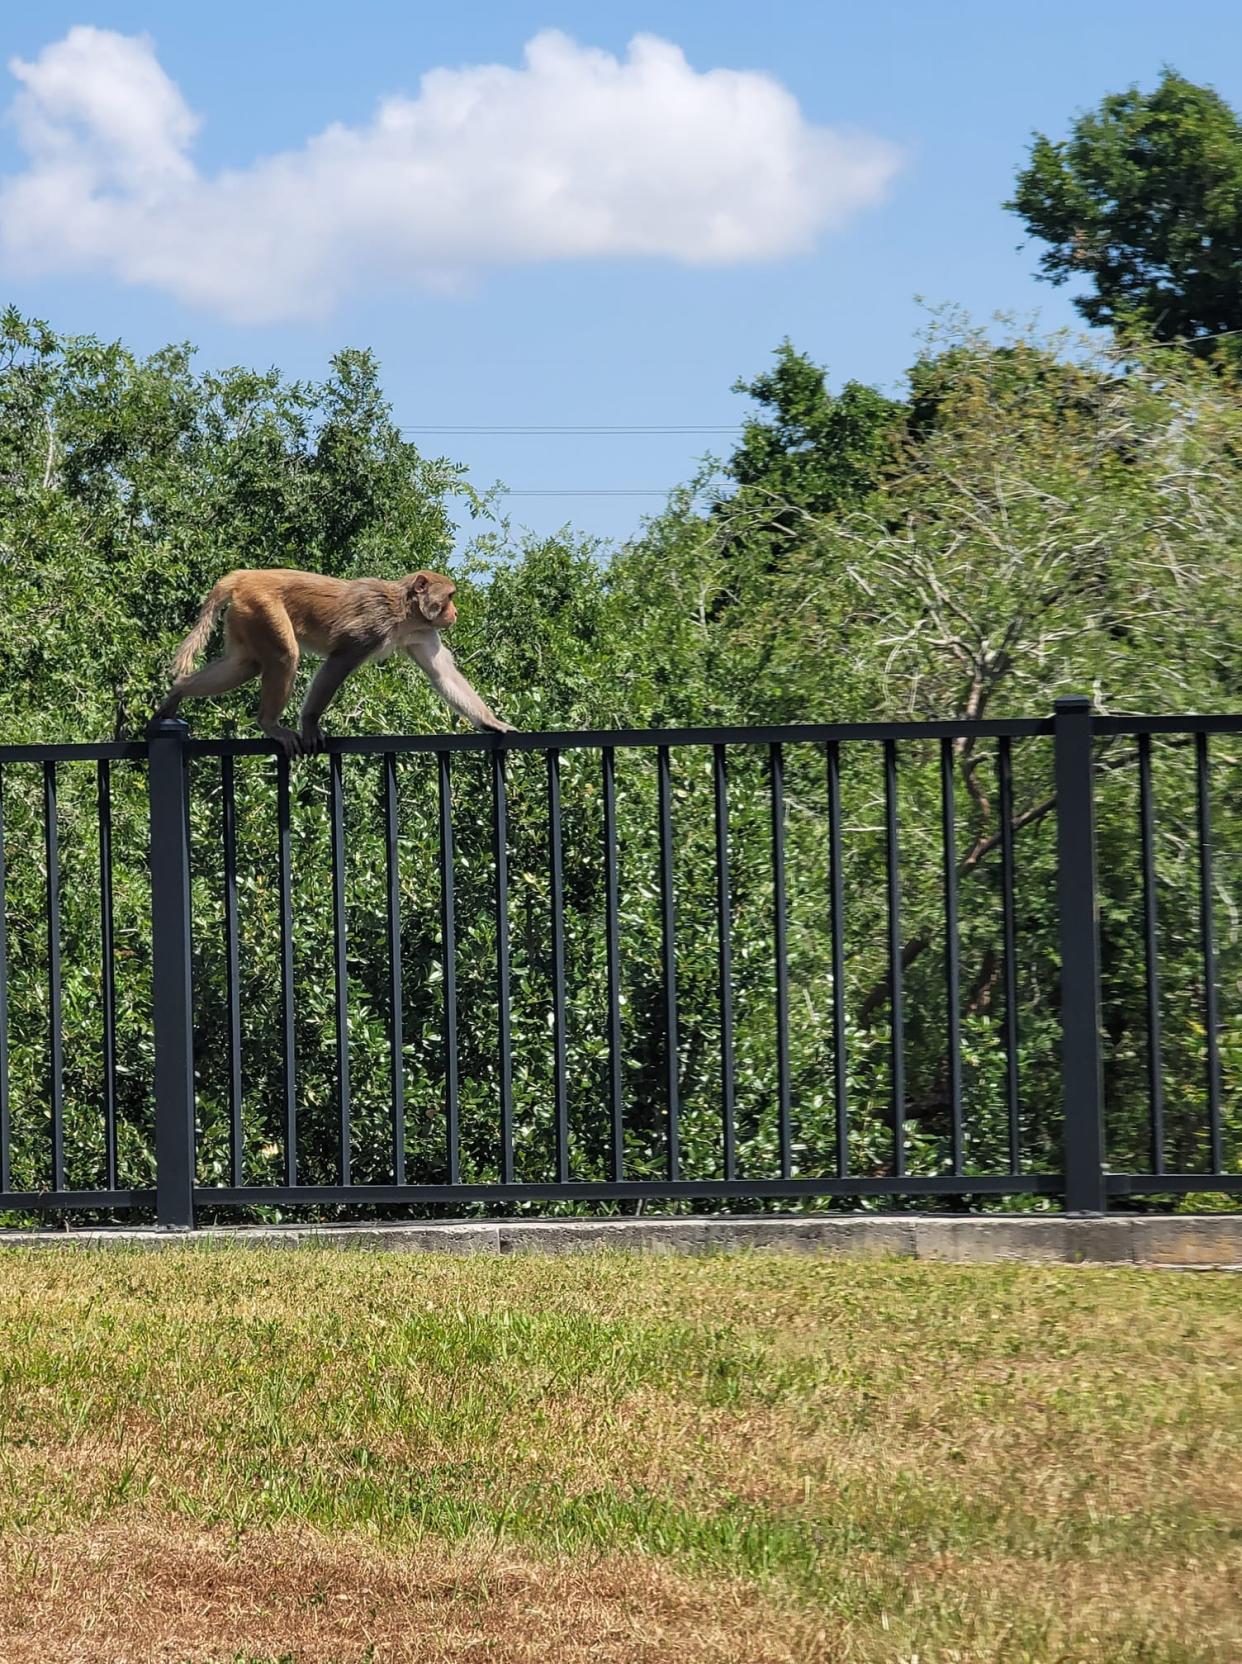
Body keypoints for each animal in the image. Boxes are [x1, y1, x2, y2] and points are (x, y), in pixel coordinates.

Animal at [154, 572, 512, 755]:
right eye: (450, 596)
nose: (455, 613)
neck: (404, 610)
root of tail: (245, 577)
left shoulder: (421, 631)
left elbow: (443, 673)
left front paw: (492, 722)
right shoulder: (372, 629)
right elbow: (339, 663)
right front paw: (310, 724)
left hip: (245, 618)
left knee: (245, 665)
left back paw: (178, 692)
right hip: (262, 608)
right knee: (285, 657)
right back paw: (270, 723)